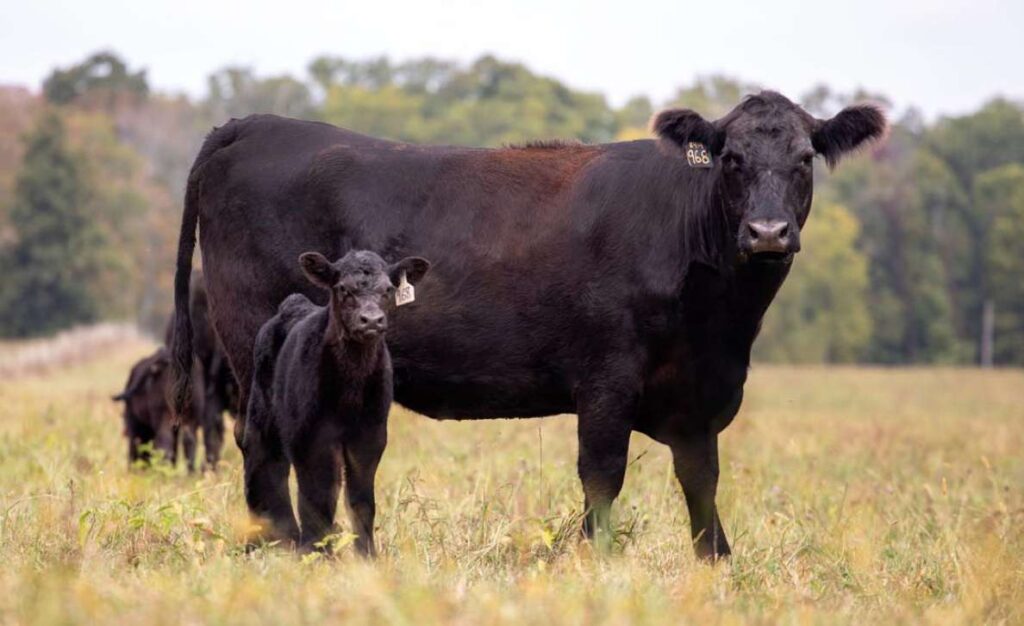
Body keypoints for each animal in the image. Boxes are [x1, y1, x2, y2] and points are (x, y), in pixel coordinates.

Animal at [244, 250, 430, 555]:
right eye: (343, 289)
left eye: (388, 290)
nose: (372, 320)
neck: (349, 393)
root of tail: (292, 304)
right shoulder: (309, 437)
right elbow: (318, 497)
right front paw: (315, 552)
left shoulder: (370, 436)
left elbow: (361, 500)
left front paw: (367, 555)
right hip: (262, 412)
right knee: (262, 462)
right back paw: (267, 540)